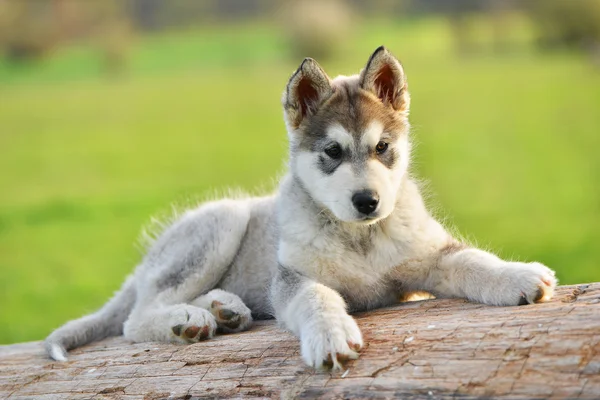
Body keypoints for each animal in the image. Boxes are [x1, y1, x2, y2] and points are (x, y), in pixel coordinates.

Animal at [47, 46, 556, 368]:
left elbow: (472, 259)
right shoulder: (294, 278)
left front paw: (518, 276)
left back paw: (226, 309)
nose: (368, 201)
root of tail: (143, 266)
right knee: (134, 318)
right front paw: (329, 337)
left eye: (383, 147)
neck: (360, 239)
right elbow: (316, 299)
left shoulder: (427, 258)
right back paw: (187, 319)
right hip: (221, 223)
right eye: (332, 151)